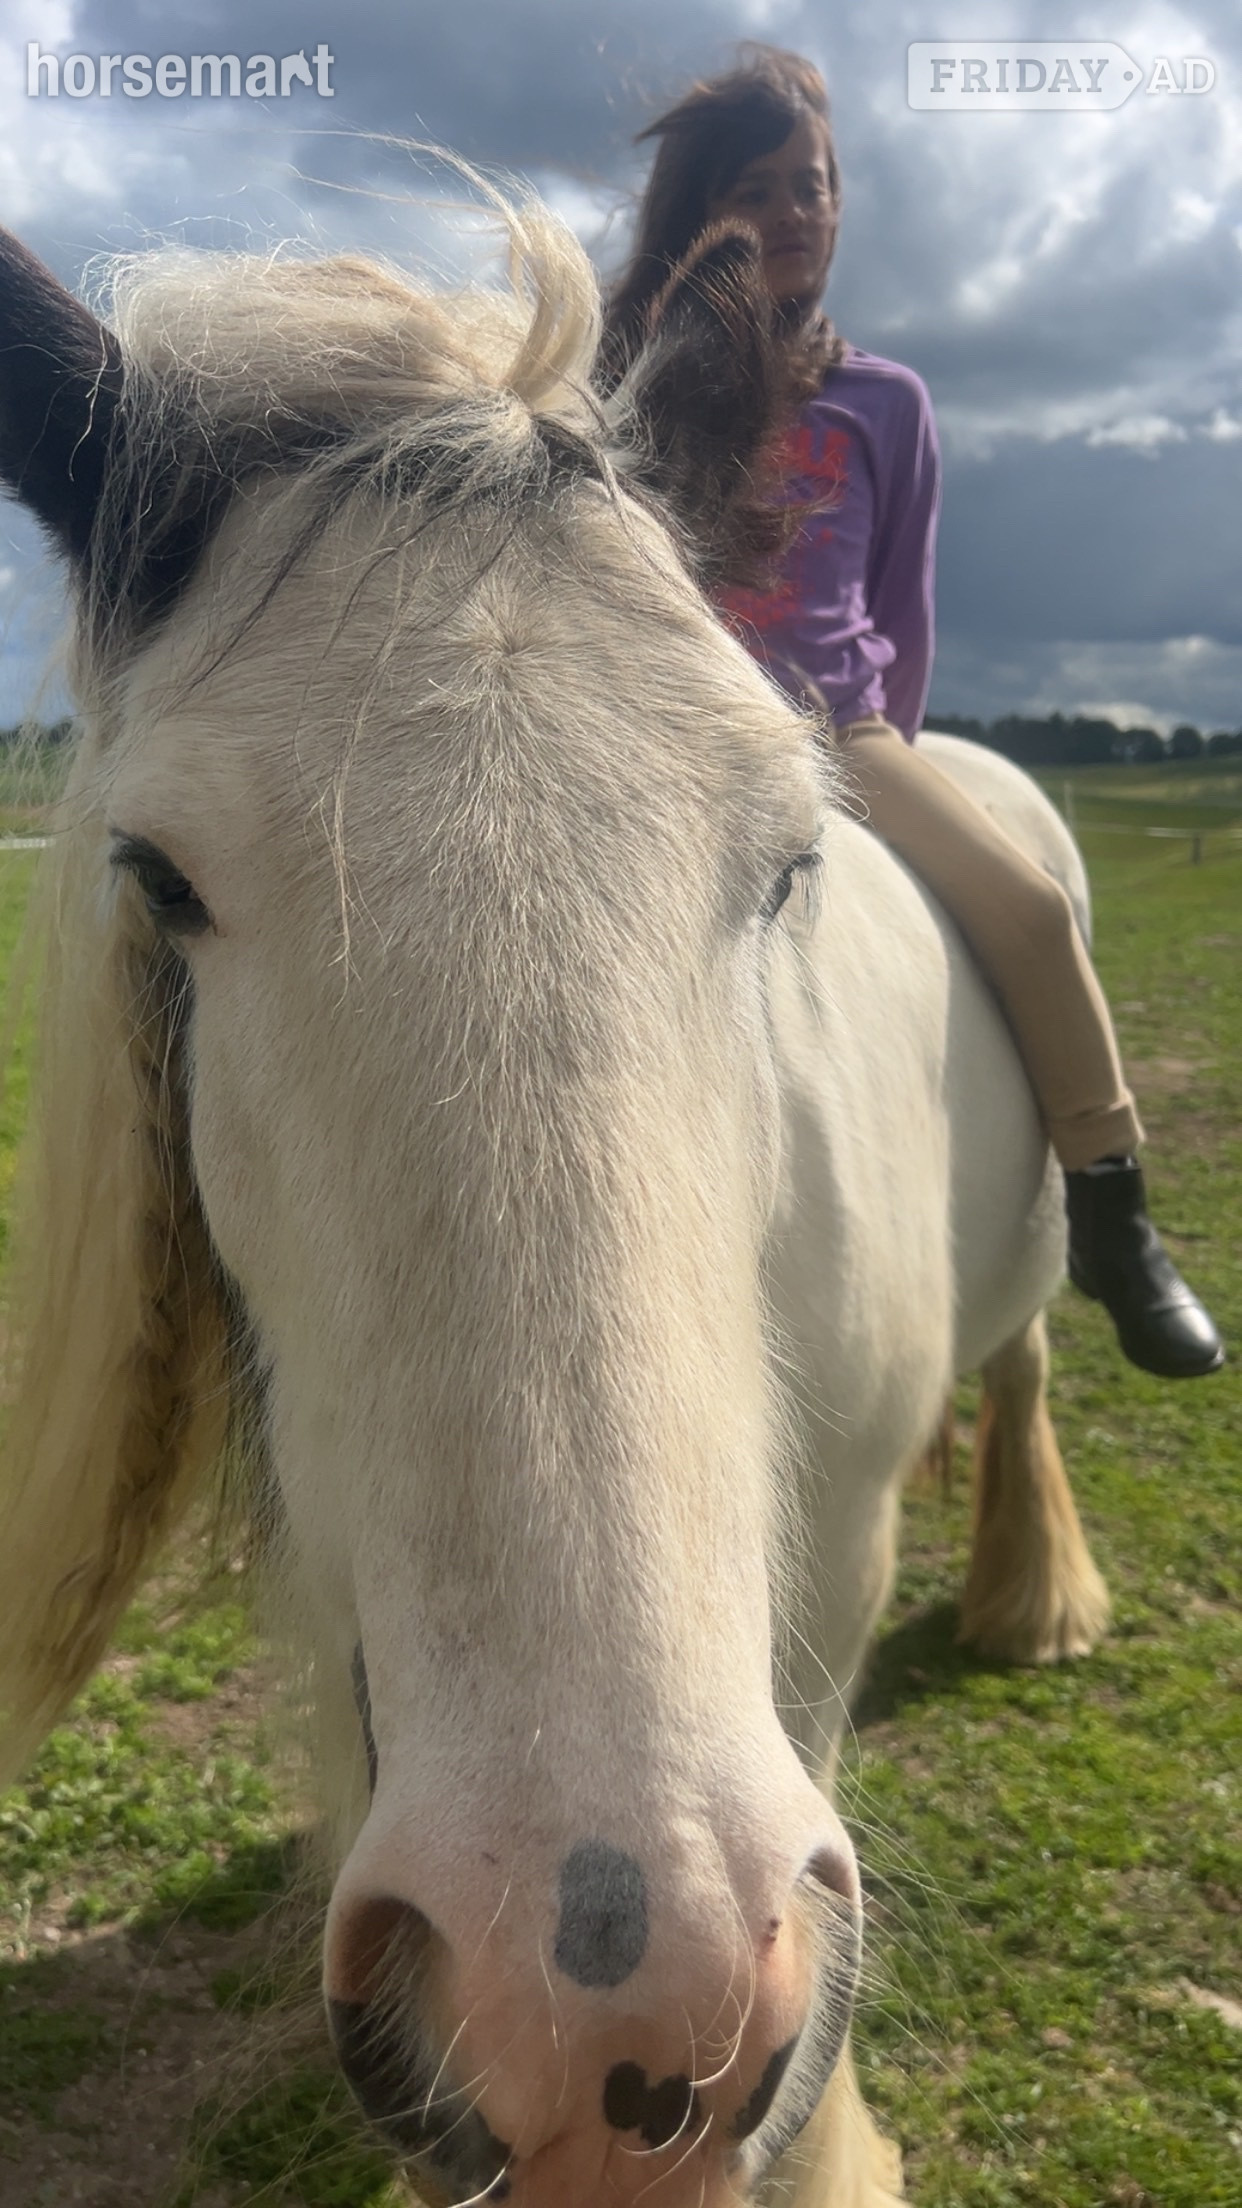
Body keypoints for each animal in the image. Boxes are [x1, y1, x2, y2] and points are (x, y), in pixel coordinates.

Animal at [0, 192, 1109, 2208]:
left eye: (786, 857)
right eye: (156, 872)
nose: (623, 2015)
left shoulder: (829, 1562)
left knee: (1029, 1362)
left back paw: (1031, 1596)